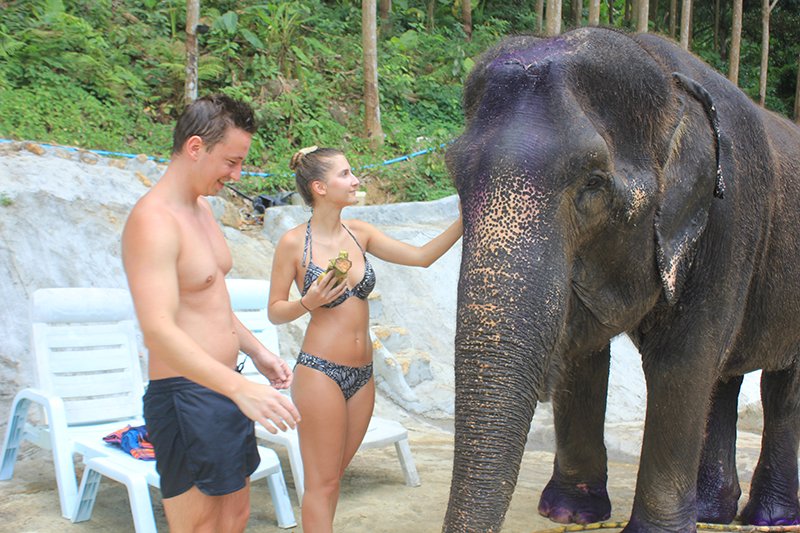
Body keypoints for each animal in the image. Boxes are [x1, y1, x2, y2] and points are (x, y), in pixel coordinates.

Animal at [443, 27, 800, 532]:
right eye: (455, 174)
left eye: (593, 183)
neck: (667, 77)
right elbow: (582, 353)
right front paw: (570, 512)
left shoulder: (730, 217)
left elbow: (681, 361)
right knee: (725, 378)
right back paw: (713, 512)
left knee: (779, 387)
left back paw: (769, 518)